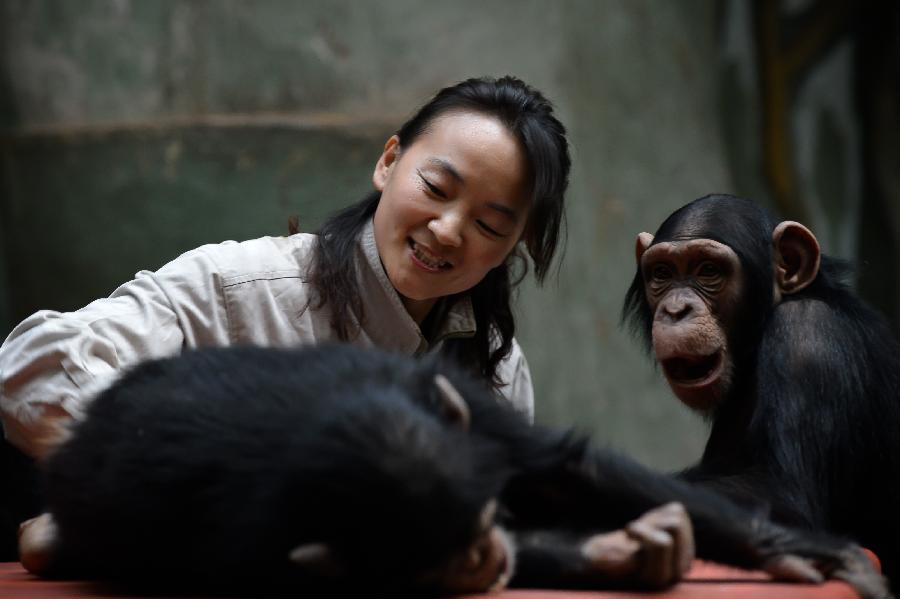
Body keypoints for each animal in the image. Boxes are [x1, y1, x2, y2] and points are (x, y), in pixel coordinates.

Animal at [26, 344, 884, 596]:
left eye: (480, 519)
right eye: (443, 550)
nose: (483, 548)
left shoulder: (447, 395)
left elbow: (566, 467)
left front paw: (791, 547)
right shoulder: (251, 549)